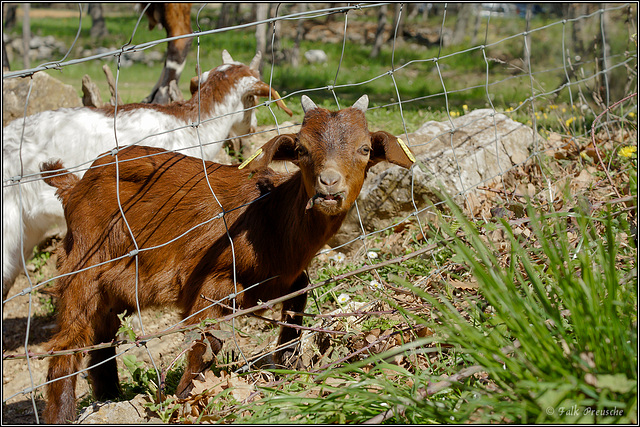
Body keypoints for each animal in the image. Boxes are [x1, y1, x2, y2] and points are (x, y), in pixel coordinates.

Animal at [40, 95, 416, 422]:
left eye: (364, 149)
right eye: (302, 149)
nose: (329, 185)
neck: (271, 217)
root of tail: (74, 186)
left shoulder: (288, 277)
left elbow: (297, 306)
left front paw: (284, 367)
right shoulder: (210, 284)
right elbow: (205, 343)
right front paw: (186, 400)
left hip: (111, 287)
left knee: (101, 340)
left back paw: (109, 398)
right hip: (83, 267)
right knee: (66, 346)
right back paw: (64, 414)